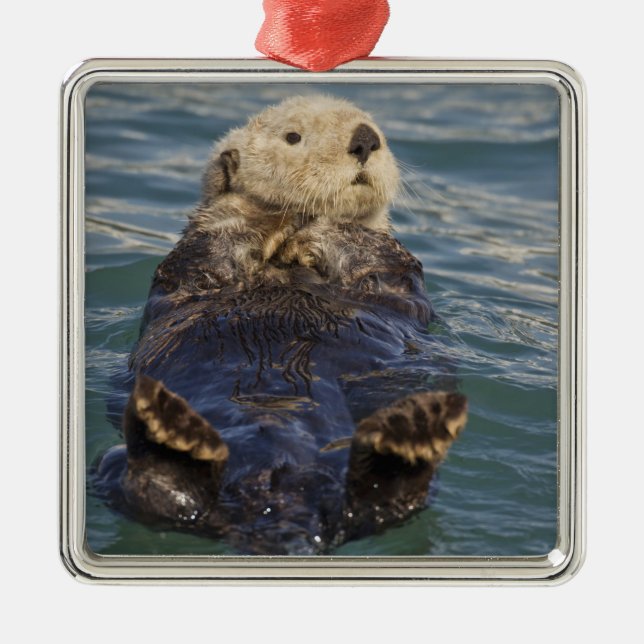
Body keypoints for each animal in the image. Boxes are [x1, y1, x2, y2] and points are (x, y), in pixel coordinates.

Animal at [94, 96, 467, 555]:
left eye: (377, 129)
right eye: (293, 136)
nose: (365, 139)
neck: (284, 266)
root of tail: (283, 506)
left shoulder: (392, 273)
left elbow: (371, 255)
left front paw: (321, 226)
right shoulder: (192, 267)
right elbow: (214, 247)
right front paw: (267, 217)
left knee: (383, 504)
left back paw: (409, 440)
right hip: (110, 463)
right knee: (154, 495)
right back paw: (169, 438)